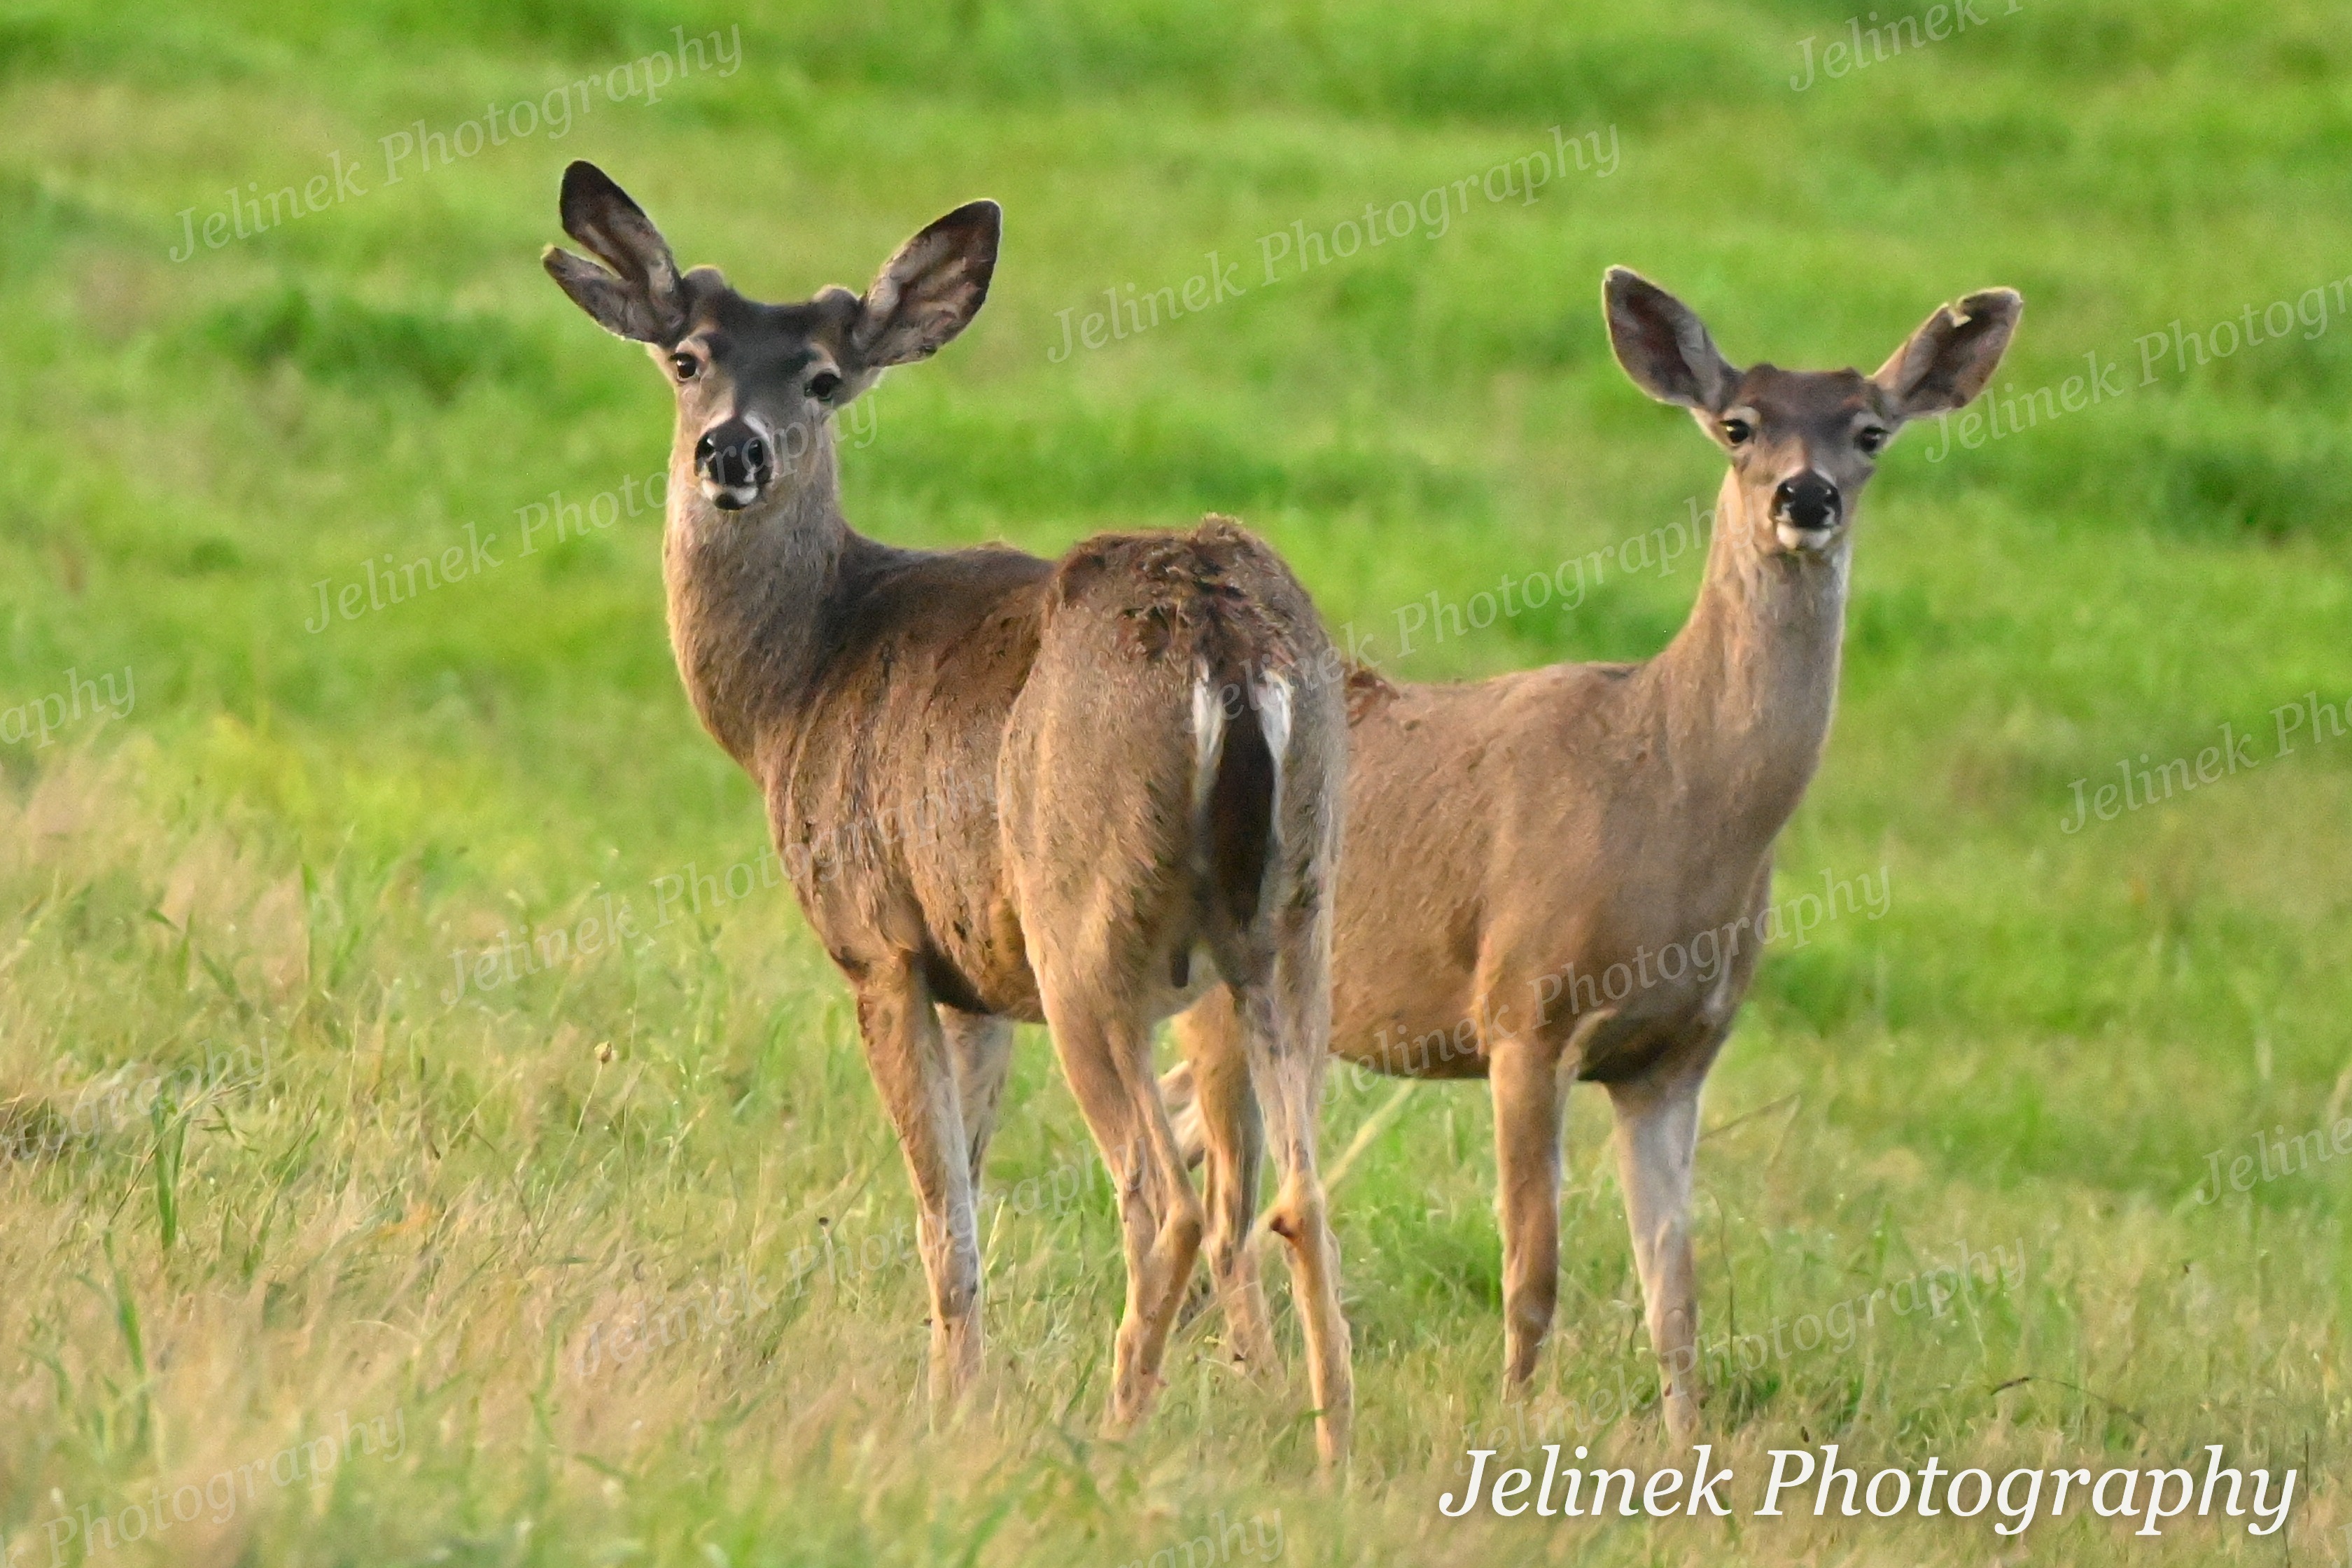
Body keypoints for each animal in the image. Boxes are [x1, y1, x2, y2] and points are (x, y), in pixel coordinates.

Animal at [539, 161, 1353, 1461]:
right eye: (690, 356)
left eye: (823, 378)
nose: (731, 449)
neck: (793, 687)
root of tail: (1227, 644)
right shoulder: (980, 980)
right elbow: (966, 1187)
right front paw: (964, 1395)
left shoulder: (880, 943)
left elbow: (941, 1207)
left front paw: (949, 1411)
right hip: (1294, 917)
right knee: (1300, 1194)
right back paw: (1332, 1451)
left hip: (1085, 931)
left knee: (1162, 1198)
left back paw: (1114, 1432)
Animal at [1164, 268, 2020, 1445]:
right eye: (1738, 425)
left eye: (1870, 432)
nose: (1805, 498)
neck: (1668, 797)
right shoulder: (1524, 1009)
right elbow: (1533, 1269)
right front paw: (1515, 1419)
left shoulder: (1677, 1055)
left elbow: (1677, 1292)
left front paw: (1686, 1442)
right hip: (1229, 981)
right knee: (1227, 1201)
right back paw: (1256, 1375)